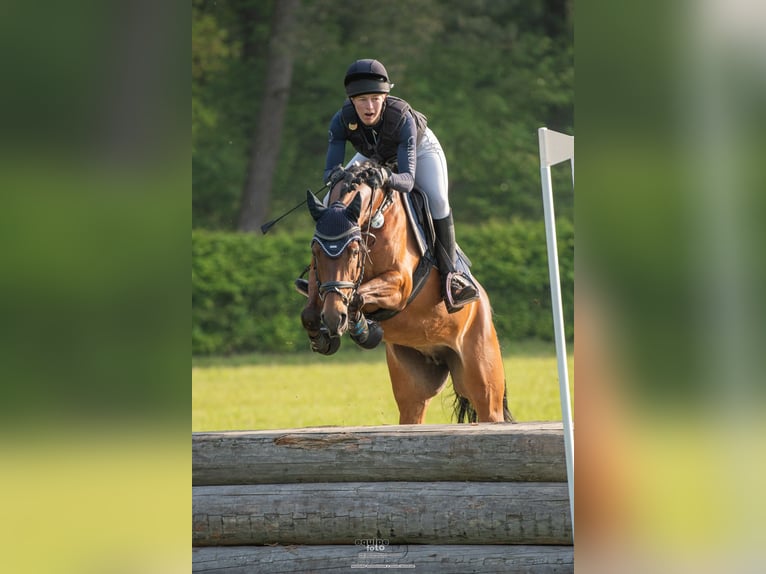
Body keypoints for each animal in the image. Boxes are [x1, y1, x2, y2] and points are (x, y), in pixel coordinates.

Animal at [302, 164, 516, 426]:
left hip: (483, 383)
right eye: (315, 251)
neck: (375, 217)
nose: (334, 318)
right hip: (413, 385)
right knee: (413, 411)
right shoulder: (320, 281)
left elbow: (358, 296)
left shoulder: (400, 285)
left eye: (353, 251)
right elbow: (310, 312)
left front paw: (364, 331)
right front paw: (324, 338)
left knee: (488, 406)